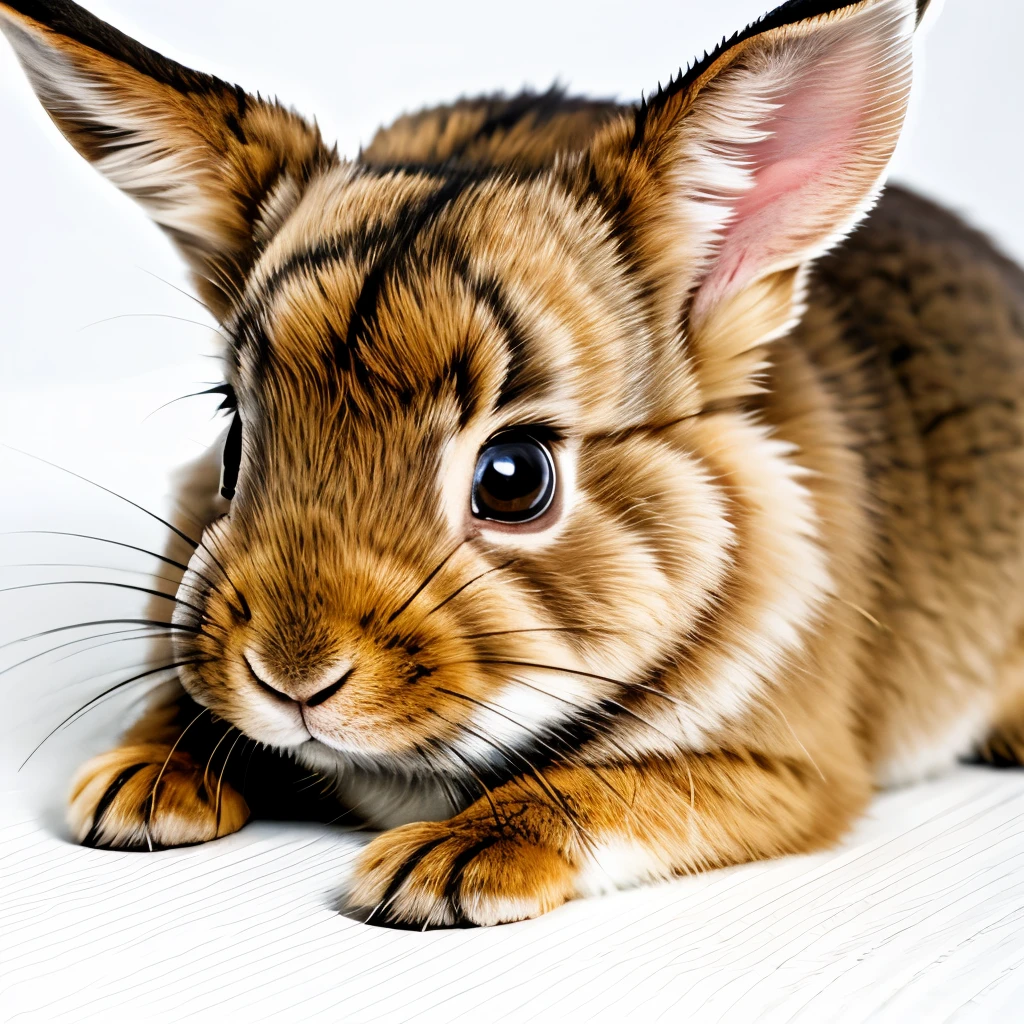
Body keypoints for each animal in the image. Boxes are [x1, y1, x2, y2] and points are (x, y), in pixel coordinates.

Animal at [4, 0, 1019, 929]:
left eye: (515, 477)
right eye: (234, 439)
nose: (291, 675)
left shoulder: (784, 769)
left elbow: (614, 790)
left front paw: (446, 866)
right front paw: (137, 784)